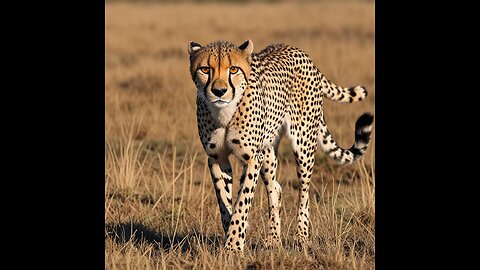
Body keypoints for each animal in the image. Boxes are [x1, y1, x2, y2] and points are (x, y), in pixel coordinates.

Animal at [188, 40, 376, 253]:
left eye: (233, 69)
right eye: (205, 69)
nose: (219, 92)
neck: (225, 111)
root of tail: (297, 50)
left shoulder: (252, 158)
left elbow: (243, 201)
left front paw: (234, 245)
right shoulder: (217, 158)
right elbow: (224, 202)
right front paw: (233, 235)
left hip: (303, 145)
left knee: (304, 193)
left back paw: (301, 237)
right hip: (269, 152)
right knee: (275, 188)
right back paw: (273, 240)